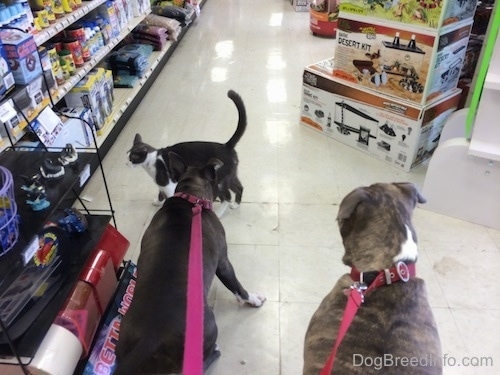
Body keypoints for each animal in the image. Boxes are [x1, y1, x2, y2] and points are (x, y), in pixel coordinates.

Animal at [114, 151, 266, 374]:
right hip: (208, 327)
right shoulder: (223, 263)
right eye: (217, 181)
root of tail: (151, 336)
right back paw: (214, 353)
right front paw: (253, 299)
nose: (224, 192)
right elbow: (238, 287)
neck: (191, 197)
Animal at [127, 89, 246, 217]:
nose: (126, 163)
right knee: (239, 187)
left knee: (227, 196)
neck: (151, 161)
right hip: (230, 175)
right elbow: (160, 193)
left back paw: (219, 213)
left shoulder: (168, 184)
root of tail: (226, 145)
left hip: (219, 180)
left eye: (132, 157)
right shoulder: (162, 183)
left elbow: (169, 195)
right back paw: (236, 204)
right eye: (127, 154)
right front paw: (157, 202)